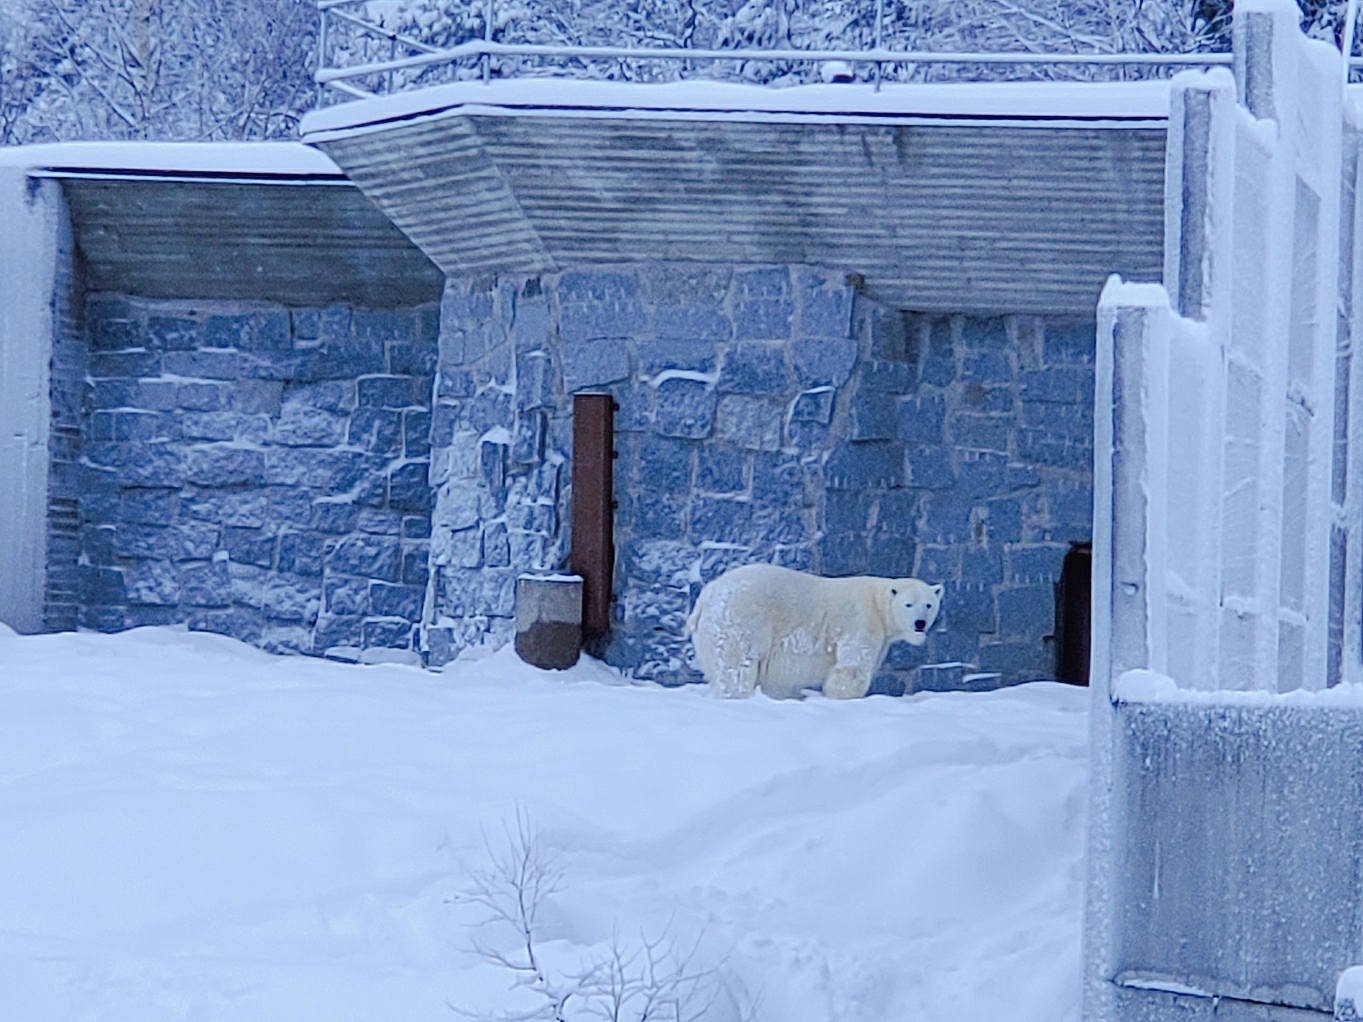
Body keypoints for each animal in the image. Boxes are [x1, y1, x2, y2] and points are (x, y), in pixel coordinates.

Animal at [686, 564, 943, 703]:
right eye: (908, 604)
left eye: (929, 604)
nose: (920, 623)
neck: (878, 604)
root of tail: (706, 595)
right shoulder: (860, 621)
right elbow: (852, 666)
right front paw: (843, 696)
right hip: (741, 620)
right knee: (737, 667)